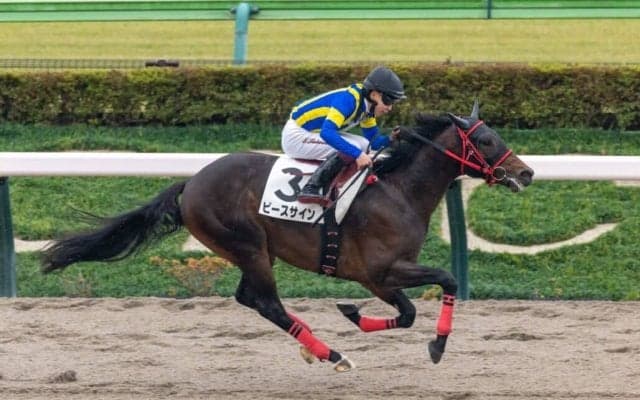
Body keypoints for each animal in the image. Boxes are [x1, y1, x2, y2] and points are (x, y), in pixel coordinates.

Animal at [42, 101, 534, 372]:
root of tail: (191, 183)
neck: (399, 192)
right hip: (248, 245)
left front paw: (354, 314)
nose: (526, 173)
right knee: (264, 302)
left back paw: (316, 348)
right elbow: (444, 283)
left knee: (250, 298)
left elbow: (410, 312)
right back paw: (331, 355)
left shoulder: (381, 278)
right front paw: (436, 345)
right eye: (486, 141)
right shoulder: (381, 271)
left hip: (252, 251)